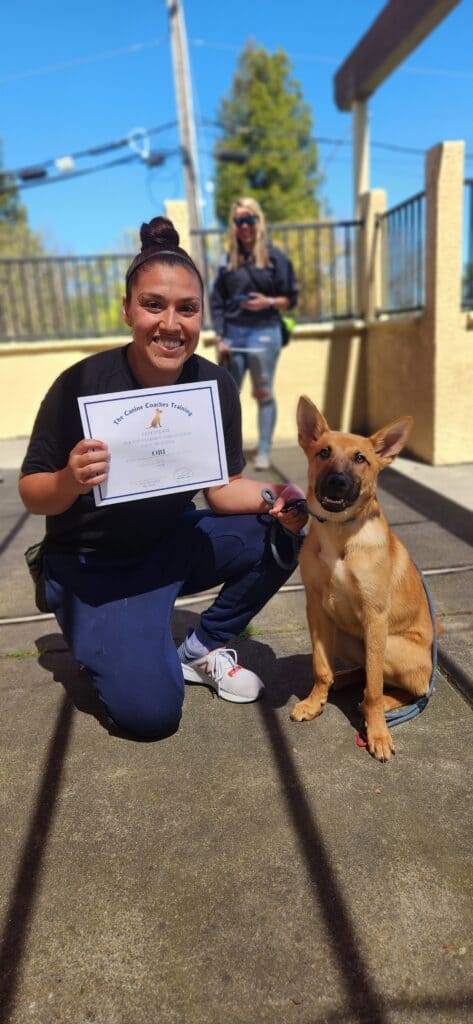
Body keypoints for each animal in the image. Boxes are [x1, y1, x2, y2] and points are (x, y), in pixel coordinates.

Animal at [292, 397, 434, 761]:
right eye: (324, 452)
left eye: (361, 459)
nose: (337, 482)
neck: (340, 534)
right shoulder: (316, 609)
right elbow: (320, 666)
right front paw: (315, 702)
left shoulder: (375, 615)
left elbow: (372, 687)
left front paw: (378, 733)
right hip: (345, 634)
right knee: (361, 670)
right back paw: (342, 679)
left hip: (392, 644)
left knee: (409, 688)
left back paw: (384, 705)